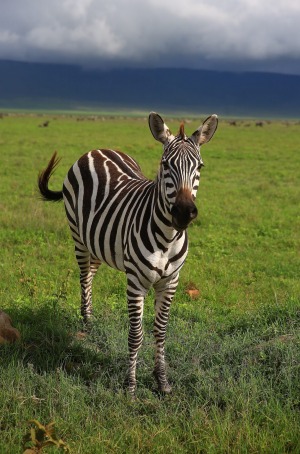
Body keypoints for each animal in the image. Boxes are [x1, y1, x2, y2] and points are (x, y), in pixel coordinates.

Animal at [37, 111, 218, 396]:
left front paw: (162, 381)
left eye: (199, 167)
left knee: (91, 273)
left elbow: (161, 332)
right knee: (84, 277)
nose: (183, 212)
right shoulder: (136, 283)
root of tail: (97, 149)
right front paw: (130, 385)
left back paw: (90, 318)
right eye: (165, 165)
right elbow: (136, 334)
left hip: (99, 241)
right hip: (78, 236)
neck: (167, 237)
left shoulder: (171, 282)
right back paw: (86, 322)